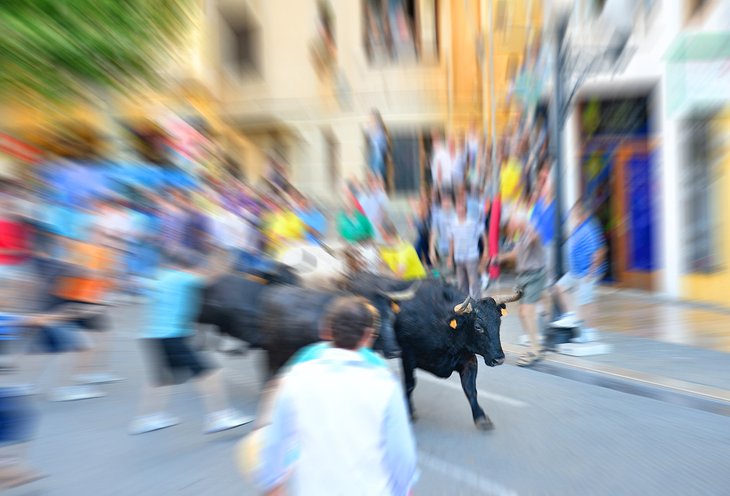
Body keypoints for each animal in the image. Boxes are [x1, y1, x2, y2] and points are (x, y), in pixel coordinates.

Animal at [198, 274, 516, 428]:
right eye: (478, 325)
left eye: (498, 321)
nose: (500, 357)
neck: (444, 323)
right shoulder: (409, 355)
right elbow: (409, 385)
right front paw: (409, 412)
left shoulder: (468, 358)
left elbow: (470, 391)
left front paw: (482, 418)